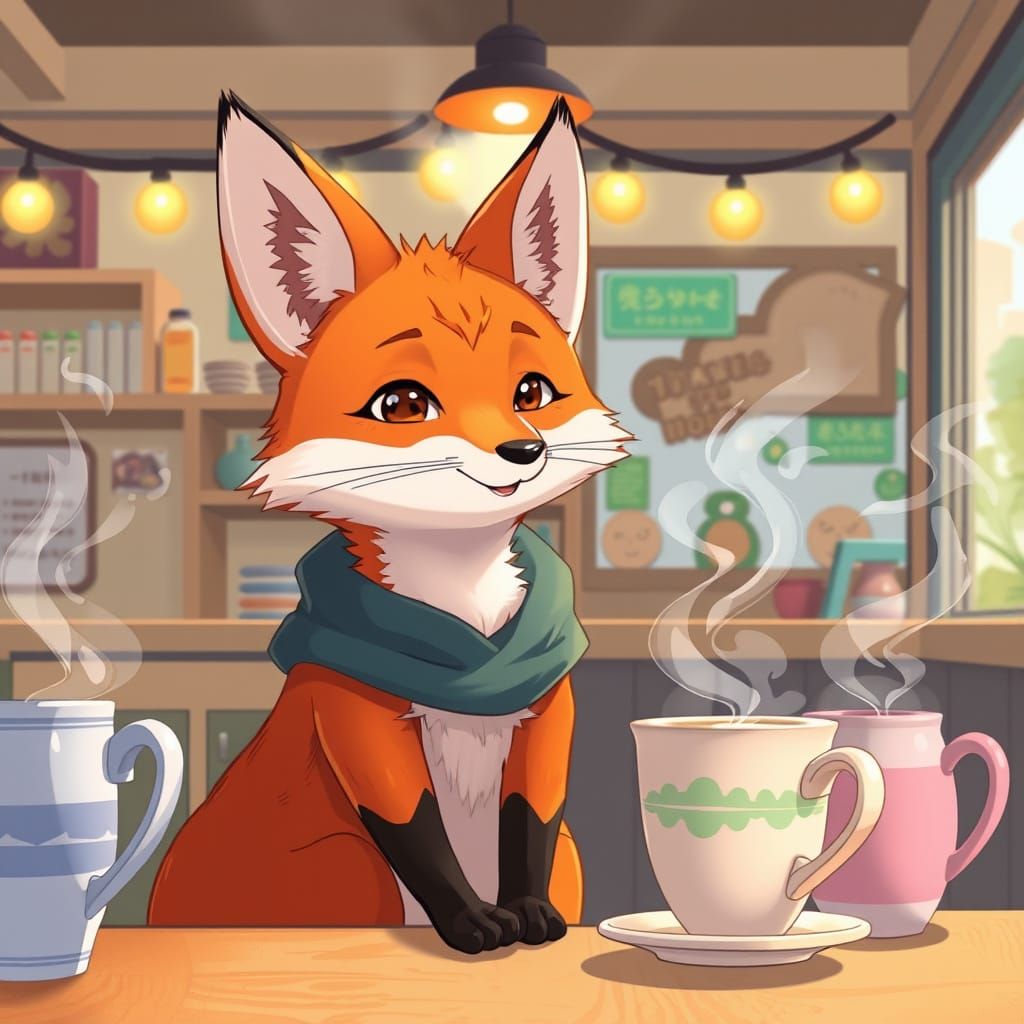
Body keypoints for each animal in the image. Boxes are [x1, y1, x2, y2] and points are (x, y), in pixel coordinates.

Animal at [146, 93, 631, 954]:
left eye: (532, 393)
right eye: (403, 404)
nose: (522, 451)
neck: (465, 630)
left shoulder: (548, 716)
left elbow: (530, 822)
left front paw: (528, 911)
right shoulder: (352, 713)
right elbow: (418, 830)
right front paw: (473, 921)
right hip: (347, 870)